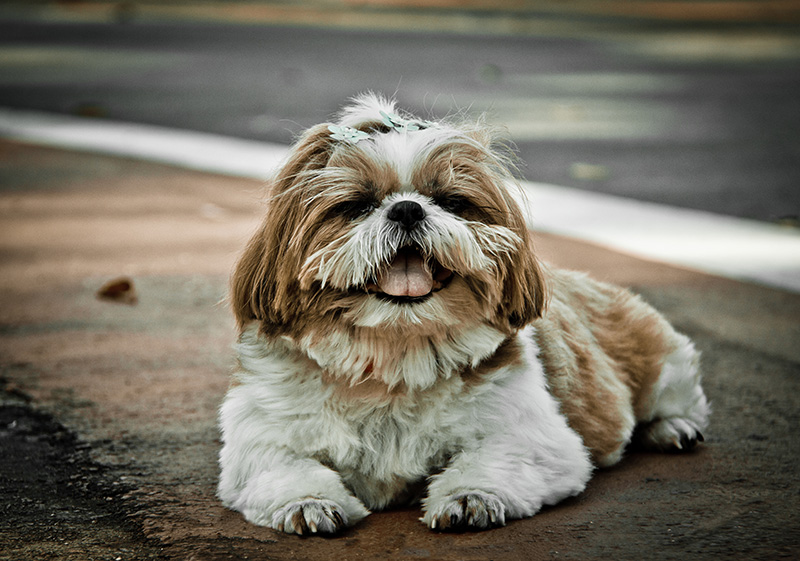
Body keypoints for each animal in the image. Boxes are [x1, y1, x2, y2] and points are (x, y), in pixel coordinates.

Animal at [216, 93, 708, 532]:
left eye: (451, 202)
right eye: (357, 205)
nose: (407, 208)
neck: (393, 357)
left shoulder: (535, 438)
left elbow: (495, 458)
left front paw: (471, 496)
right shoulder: (260, 438)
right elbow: (280, 466)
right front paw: (308, 502)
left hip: (662, 361)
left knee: (677, 399)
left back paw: (673, 428)